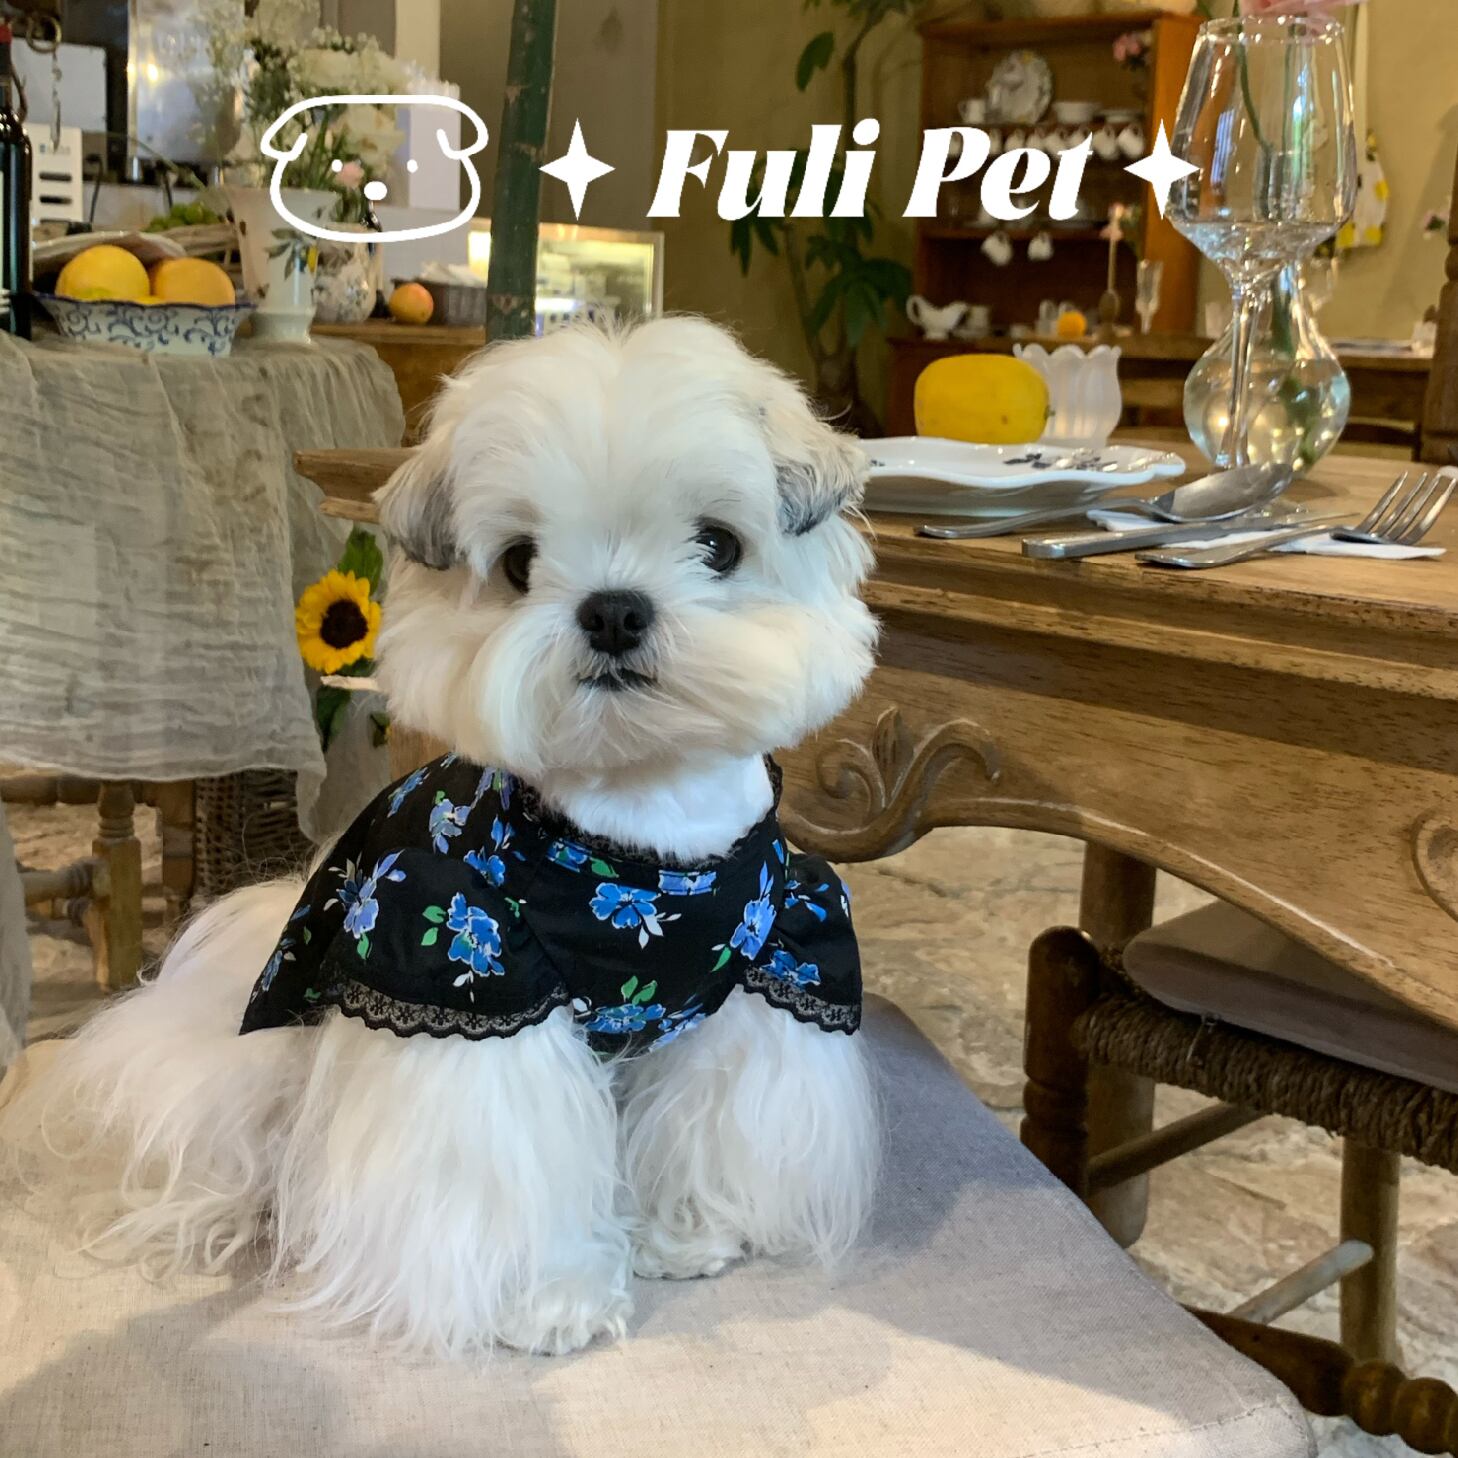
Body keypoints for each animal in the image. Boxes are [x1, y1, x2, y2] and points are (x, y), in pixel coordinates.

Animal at [1, 316, 880, 1359]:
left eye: (719, 544)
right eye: (518, 564)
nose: (614, 608)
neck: (637, 842)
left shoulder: (772, 958)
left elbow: (707, 1113)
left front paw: (684, 1229)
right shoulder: (464, 969)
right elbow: (505, 1157)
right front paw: (550, 1299)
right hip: (235, 1075)